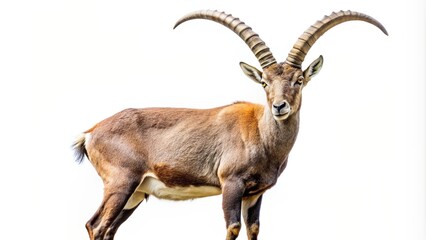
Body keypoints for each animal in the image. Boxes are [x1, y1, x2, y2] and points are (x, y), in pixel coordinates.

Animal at [74, 9, 390, 240]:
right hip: (121, 183)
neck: (261, 134)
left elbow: (253, 230)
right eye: (264, 82)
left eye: (299, 80)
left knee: (108, 229)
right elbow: (232, 228)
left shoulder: (256, 194)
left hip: (137, 193)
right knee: (96, 225)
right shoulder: (231, 185)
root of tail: (90, 133)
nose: (279, 106)